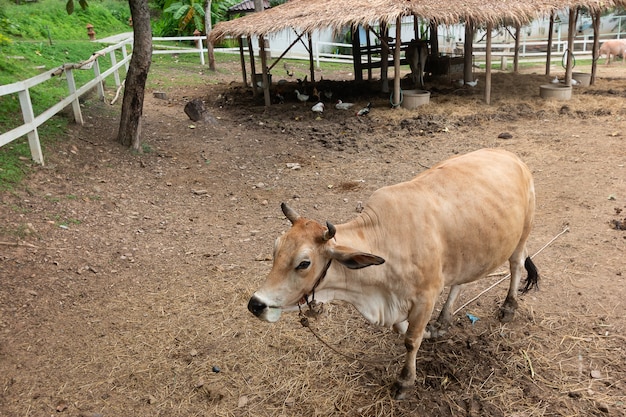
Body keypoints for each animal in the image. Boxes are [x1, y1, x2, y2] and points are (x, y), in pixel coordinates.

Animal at [247, 148, 536, 398]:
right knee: (460, 282)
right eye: (275, 250)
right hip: (469, 251)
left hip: (522, 234)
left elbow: (410, 340)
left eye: (304, 263)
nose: (256, 304)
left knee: (516, 265)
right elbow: (403, 330)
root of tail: (509, 155)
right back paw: (443, 320)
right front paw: (431, 333)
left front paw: (405, 381)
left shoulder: (426, 296)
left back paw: (509, 307)